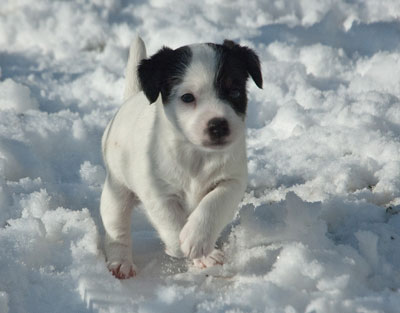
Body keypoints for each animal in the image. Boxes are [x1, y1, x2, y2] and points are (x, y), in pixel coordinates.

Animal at [100, 36, 262, 278]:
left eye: (234, 92)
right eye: (187, 97)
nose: (218, 125)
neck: (196, 155)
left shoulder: (231, 181)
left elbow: (214, 204)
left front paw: (197, 241)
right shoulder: (157, 192)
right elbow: (171, 221)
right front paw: (179, 245)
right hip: (115, 192)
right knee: (117, 229)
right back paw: (120, 263)